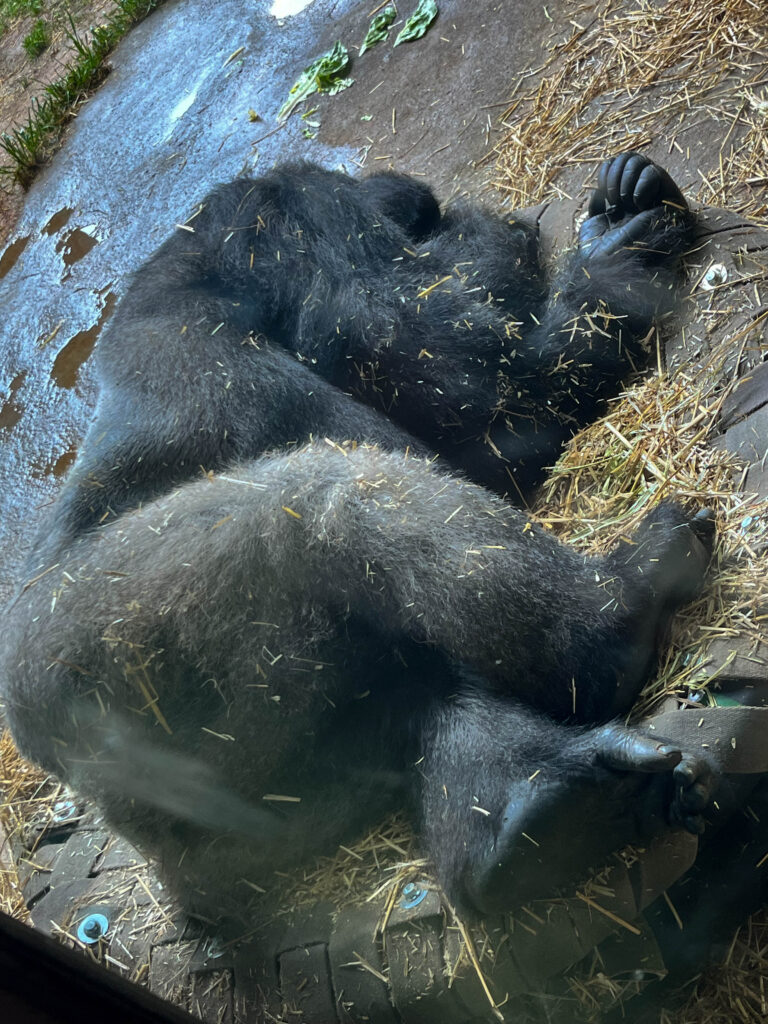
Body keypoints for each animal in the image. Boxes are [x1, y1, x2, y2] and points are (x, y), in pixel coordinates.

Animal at [3, 149, 720, 921]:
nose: (501, 221)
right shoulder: (294, 212)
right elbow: (499, 387)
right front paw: (615, 256)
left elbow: (490, 436)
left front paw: (613, 218)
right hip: (110, 652)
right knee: (329, 498)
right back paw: (615, 617)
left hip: (249, 813)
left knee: (408, 694)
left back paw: (531, 818)